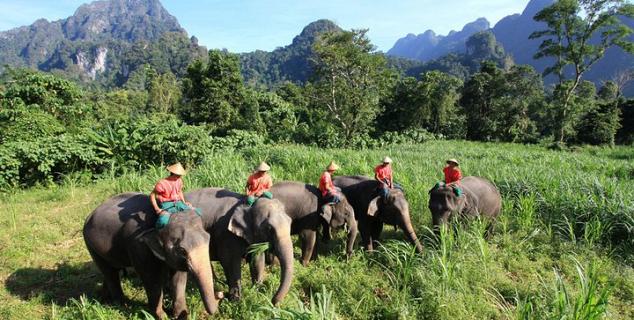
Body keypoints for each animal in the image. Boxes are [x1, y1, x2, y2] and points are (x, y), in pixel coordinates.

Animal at [82, 191, 218, 318]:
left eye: (208, 238)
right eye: (182, 251)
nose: (219, 295)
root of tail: (90, 215)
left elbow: (178, 278)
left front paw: (181, 315)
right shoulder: (138, 247)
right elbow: (152, 280)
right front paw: (162, 316)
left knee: (112, 270)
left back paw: (104, 299)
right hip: (91, 246)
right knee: (109, 273)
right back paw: (123, 304)